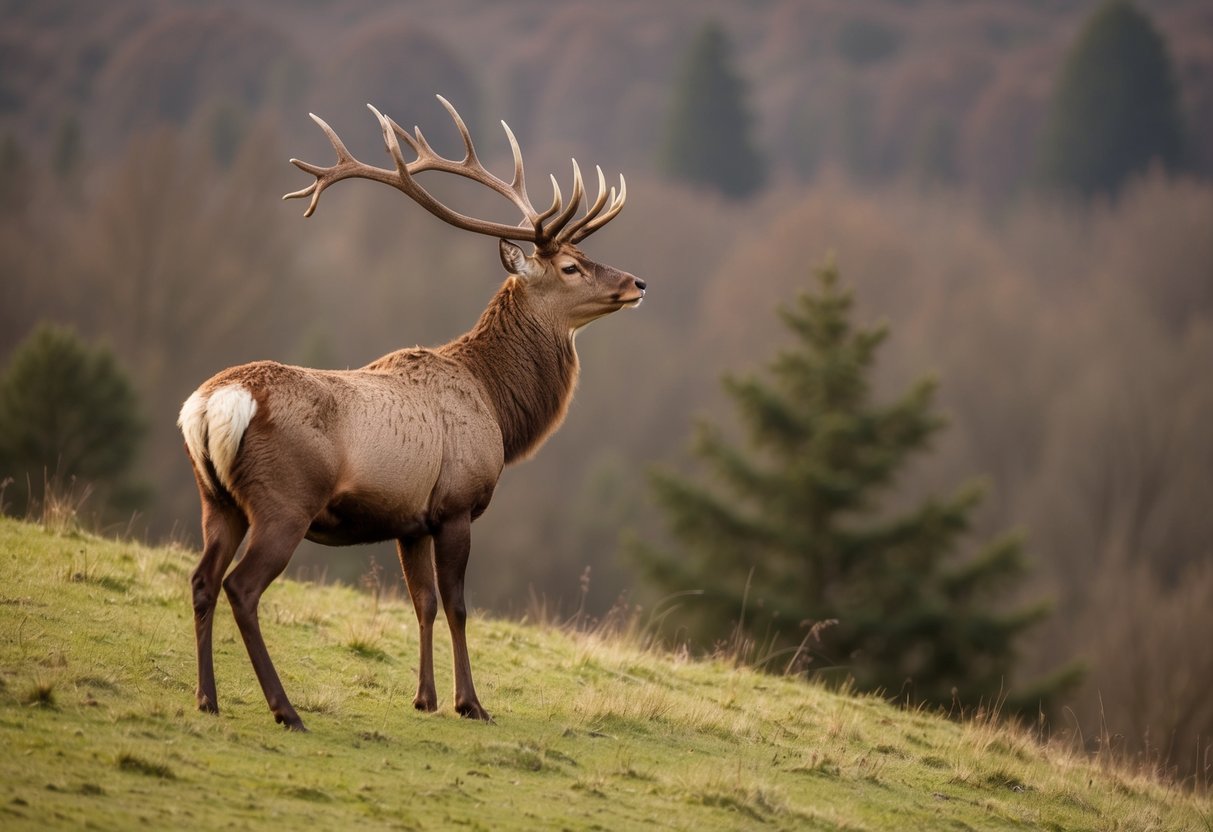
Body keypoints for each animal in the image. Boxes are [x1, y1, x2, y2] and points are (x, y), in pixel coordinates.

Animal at [177, 96, 644, 731]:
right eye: (571, 266)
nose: (637, 282)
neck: (496, 406)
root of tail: (212, 404)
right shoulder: (456, 504)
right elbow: (458, 605)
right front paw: (470, 703)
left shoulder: (410, 519)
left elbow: (421, 603)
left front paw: (424, 697)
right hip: (284, 501)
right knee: (242, 589)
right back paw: (285, 709)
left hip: (216, 498)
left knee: (202, 579)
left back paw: (208, 698)